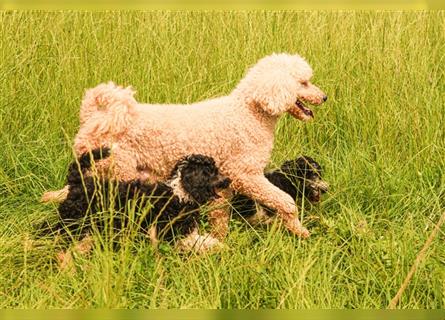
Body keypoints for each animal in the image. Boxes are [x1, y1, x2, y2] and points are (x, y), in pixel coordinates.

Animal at [45, 148, 231, 255]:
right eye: (212, 172)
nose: (228, 180)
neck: (179, 191)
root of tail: (77, 182)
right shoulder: (171, 232)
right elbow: (199, 242)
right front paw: (222, 248)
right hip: (74, 222)